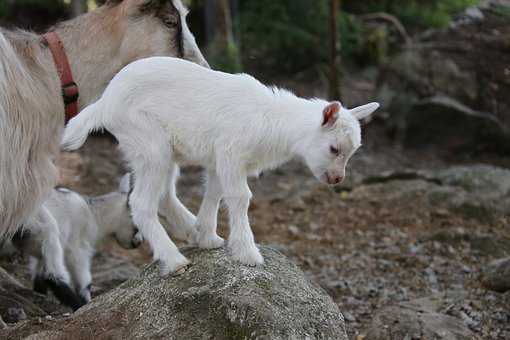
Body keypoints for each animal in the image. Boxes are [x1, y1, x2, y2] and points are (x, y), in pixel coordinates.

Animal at [14, 174, 141, 310]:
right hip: (45, 226)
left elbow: (37, 274)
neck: (94, 216)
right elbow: (84, 280)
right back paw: (76, 304)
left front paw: (40, 293)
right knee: (53, 273)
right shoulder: (78, 247)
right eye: (137, 226)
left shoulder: (39, 252)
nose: (138, 243)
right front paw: (85, 302)